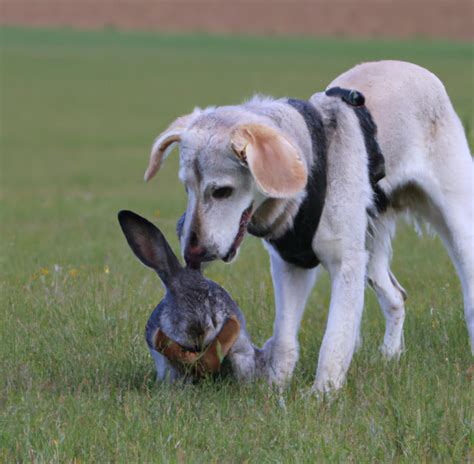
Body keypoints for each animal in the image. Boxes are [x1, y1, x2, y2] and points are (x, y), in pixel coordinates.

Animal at [143, 59, 474, 392]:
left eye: (222, 191)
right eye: (187, 187)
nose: (192, 253)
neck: (308, 166)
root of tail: (416, 69)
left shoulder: (346, 264)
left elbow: (335, 337)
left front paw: (322, 393)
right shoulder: (292, 264)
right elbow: (284, 337)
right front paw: (276, 387)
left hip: (456, 223)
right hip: (370, 246)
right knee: (395, 296)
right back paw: (390, 355)